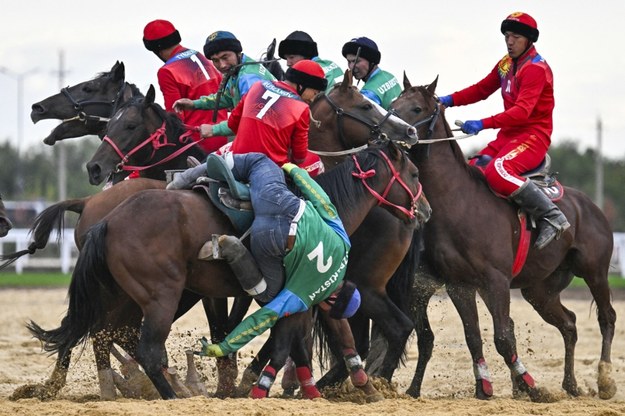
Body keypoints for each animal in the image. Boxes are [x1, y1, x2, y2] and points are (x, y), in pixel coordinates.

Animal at [390, 76, 616, 402]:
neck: (460, 202)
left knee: (606, 317)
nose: (386, 129)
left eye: (417, 107)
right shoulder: (459, 285)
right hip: (540, 291)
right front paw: (484, 387)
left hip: (594, 272)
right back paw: (571, 384)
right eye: (394, 103)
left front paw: (532, 387)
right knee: (570, 324)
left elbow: (503, 337)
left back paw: (605, 378)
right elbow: (473, 337)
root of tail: (591, 207)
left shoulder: (495, 282)